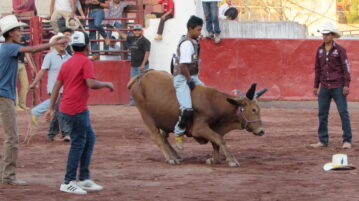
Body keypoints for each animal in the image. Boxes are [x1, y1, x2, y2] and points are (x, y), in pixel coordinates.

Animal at [127, 70, 268, 166]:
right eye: (253, 110)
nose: (261, 131)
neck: (213, 102)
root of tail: (141, 77)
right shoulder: (199, 128)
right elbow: (219, 139)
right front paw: (232, 160)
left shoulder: (214, 127)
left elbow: (215, 141)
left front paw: (214, 159)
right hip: (147, 117)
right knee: (157, 137)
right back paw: (170, 158)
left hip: (165, 119)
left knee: (163, 137)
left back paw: (175, 155)